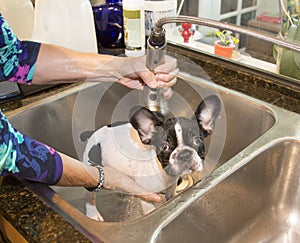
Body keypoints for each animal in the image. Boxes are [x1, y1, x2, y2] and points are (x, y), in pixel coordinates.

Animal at [81, 95, 220, 222]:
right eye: (164, 146)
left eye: (198, 140)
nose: (184, 154)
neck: (164, 172)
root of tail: (94, 134)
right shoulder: (147, 197)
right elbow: (150, 210)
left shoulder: (172, 185)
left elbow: (171, 195)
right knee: (89, 194)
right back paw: (92, 213)